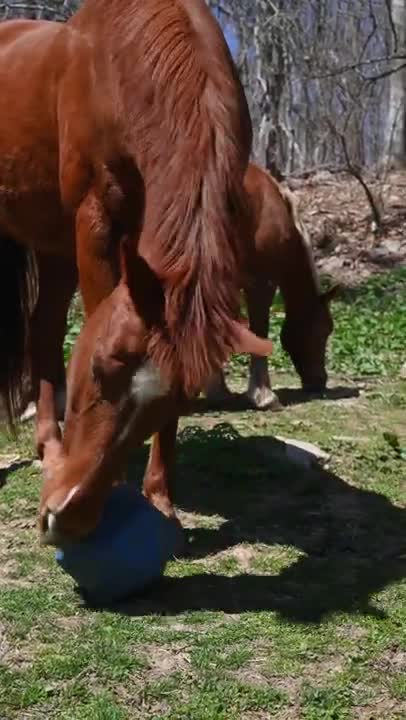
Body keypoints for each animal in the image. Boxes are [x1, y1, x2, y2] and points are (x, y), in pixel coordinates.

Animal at [0, 1, 272, 543]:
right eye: (98, 369)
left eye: (184, 398)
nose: (66, 518)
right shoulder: (94, 224)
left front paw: (160, 499)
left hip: (53, 244)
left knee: (44, 329)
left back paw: (49, 443)